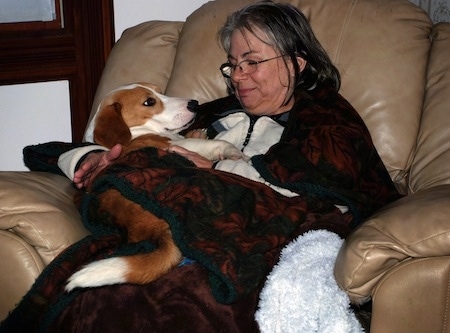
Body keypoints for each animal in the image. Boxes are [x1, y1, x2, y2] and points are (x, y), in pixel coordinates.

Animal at [65, 82, 244, 290]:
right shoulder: (178, 147)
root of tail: (159, 231)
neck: (137, 133)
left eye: (161, 92)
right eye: (149, 102)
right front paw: (235, 153)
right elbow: (218, 144)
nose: (194, 104)